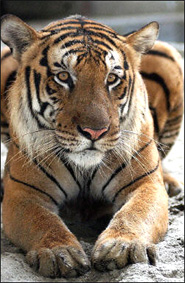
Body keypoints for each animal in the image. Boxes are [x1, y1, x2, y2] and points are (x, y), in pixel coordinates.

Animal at [0, 14, 184, 278]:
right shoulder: (24, 193)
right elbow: (42, 221)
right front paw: (59, 253)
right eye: (63, 77)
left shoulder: (145, 184)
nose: (94, 132)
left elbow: (135, 214)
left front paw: (123, 246)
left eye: (112, 79)